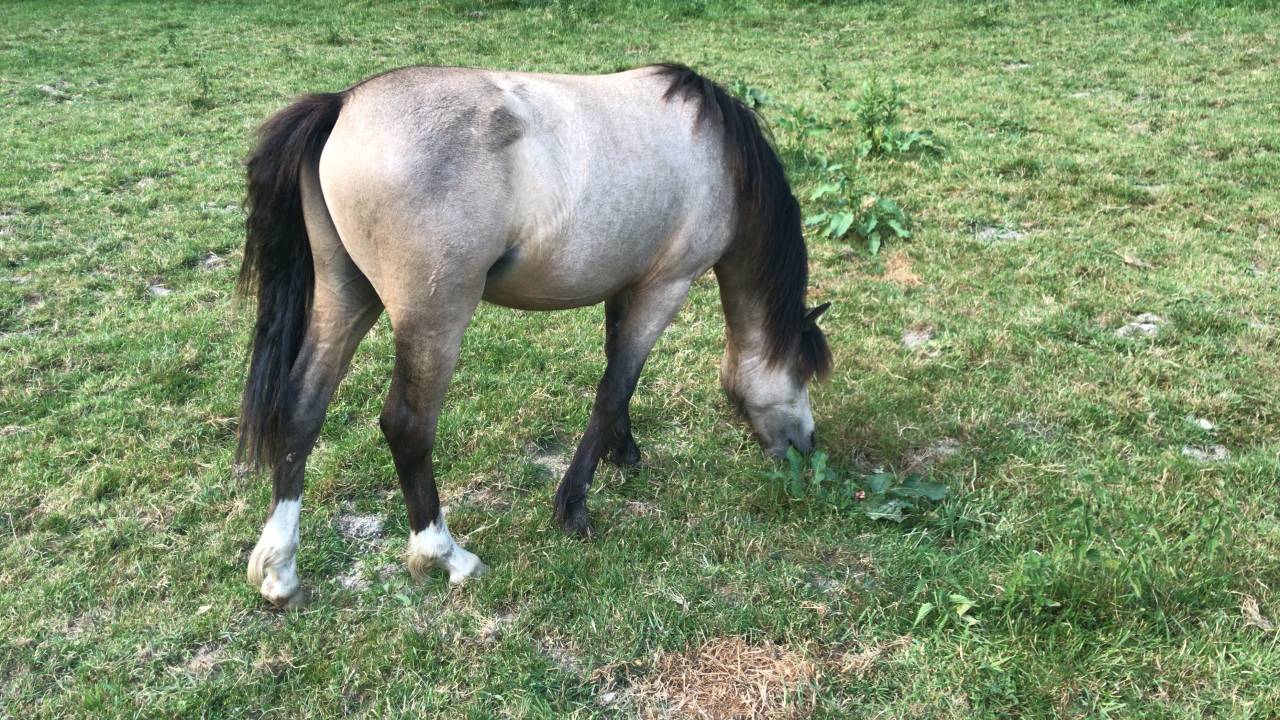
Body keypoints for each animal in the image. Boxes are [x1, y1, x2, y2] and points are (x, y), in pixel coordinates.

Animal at [237, 63, 832, 607]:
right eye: (803, 370)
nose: (806, 446)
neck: (720, 155)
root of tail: (343, 104)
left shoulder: (625, 283)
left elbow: (616, 373)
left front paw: (625, 453)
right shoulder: (667, 287)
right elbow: (615, 386)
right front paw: (573, 507)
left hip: (347, 296)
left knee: (301, 408)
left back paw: (280, 572)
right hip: (433, 320)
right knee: (407, 426)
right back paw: (447, 556)